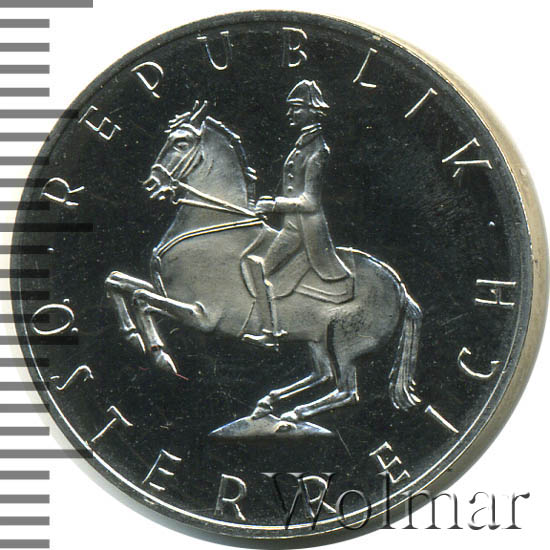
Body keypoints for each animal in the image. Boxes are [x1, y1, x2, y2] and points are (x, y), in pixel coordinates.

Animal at [105, 101, 423, 426]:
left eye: (181, 142)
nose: (152, 183)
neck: (214, 224)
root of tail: (400, 289)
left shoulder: (202, 316)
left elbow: (141, 298)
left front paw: (160, 356)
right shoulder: (166, 292)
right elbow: (117, 281)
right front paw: (132, 335)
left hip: (345, 342)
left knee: (345, 390)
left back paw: (294, 412)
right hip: (316, 338)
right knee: (322, 374)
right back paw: (269, 403)